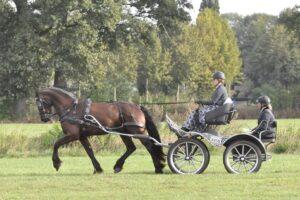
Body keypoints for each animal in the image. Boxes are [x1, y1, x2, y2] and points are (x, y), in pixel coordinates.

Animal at [36, 87, 165, 173]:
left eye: (39, 104)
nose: (43, 118)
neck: (71, 109)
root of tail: (137, 107)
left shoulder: (73, 135)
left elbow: (56, 144)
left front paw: (56, 163)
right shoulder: (82, 137)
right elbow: (90, 151)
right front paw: (98, 169)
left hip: (137, 132)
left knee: (149, 146)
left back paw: (158, 167)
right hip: (123, 132)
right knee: (131, 148)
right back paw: (118, 166)